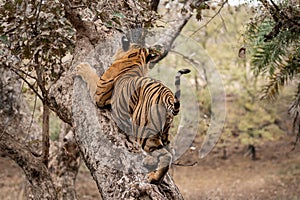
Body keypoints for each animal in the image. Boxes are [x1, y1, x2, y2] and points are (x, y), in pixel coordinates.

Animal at [77, 38, 190, 184]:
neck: (136, 58)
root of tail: (167, 95)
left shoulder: (99, 94)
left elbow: (91, 76)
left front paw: (82, 67)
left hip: (144, 131)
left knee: (166, 156)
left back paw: (154, 178)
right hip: (164, 132)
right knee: (171, 151)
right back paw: (150, 162)